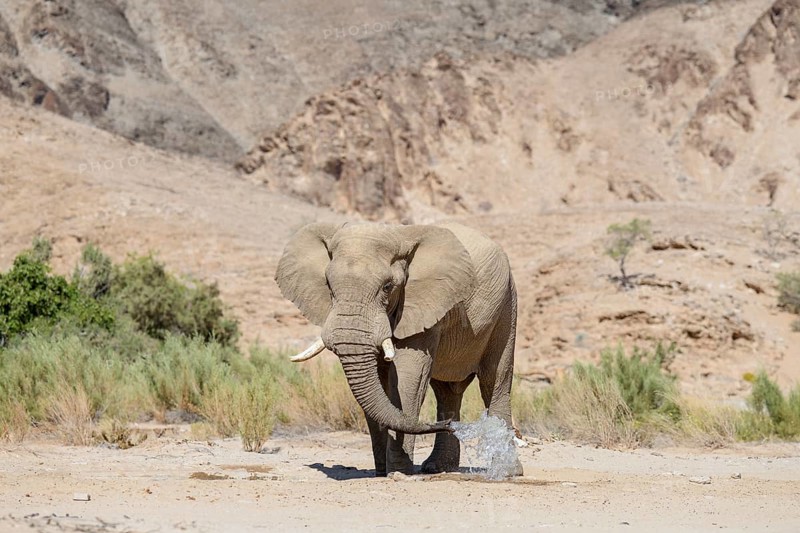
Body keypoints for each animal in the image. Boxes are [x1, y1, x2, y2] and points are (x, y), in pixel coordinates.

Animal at [275, 221, 519, 476]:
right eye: (329, 286)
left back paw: (507, 471)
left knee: (494, 381)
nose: (448, 426)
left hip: (506, 304)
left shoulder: (421, 304)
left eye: (387, 287)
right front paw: (382, 473)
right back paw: (438, 466)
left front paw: (399, 473)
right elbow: (378, 383)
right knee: (446, 390)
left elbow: (408, 377)